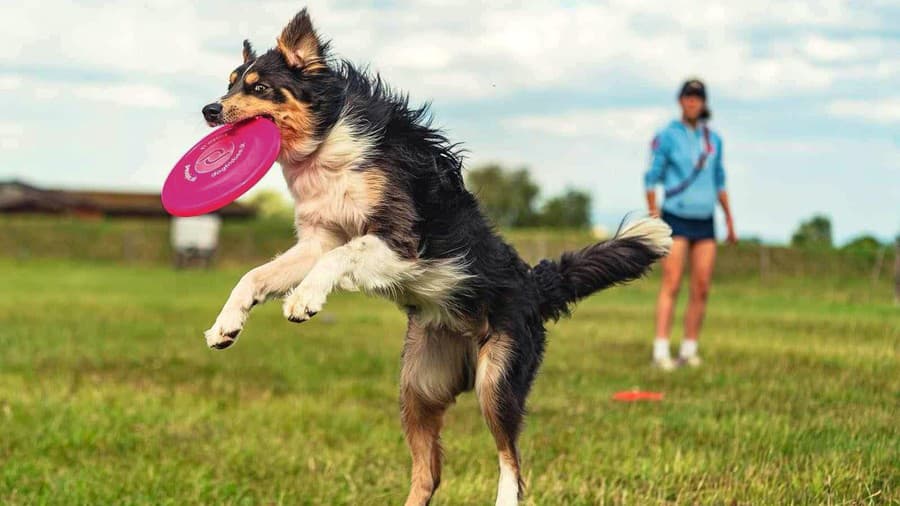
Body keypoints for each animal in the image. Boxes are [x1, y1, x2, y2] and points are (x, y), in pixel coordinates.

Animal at [200, 8, 672, 506]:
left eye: (259, 87)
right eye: (230, 83)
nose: (210, 110)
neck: (325, 146)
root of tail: (532, 285)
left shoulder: (401, 242)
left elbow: (342, 256)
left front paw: (303, 300)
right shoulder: (318, 238)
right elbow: (255, 276)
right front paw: (226, 325)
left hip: (497, 378)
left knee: (512, 462)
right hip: (417, 388)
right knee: (428, 472)